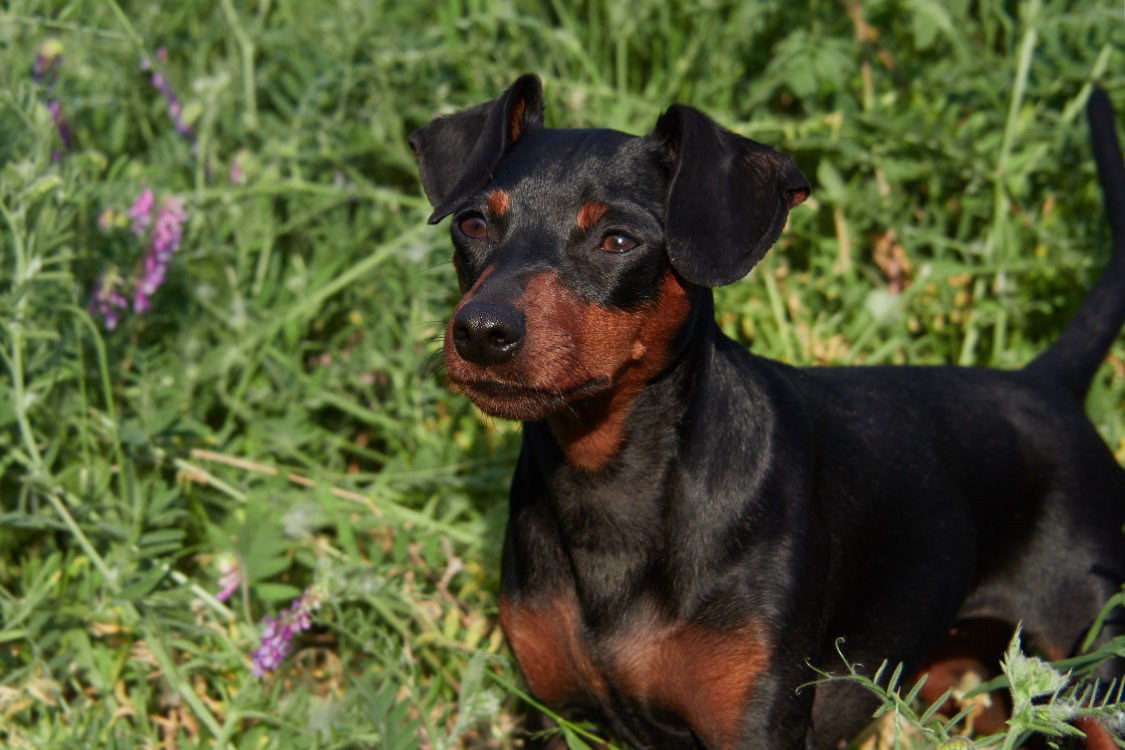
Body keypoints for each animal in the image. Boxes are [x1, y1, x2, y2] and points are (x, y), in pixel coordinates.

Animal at [409, 77, 1125, 750]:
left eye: (617, 239)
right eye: (472, 224)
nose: (481, 331)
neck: (607, 484)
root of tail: (1044, 384)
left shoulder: (754, 723)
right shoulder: (552, 714)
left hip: (1095, 682)